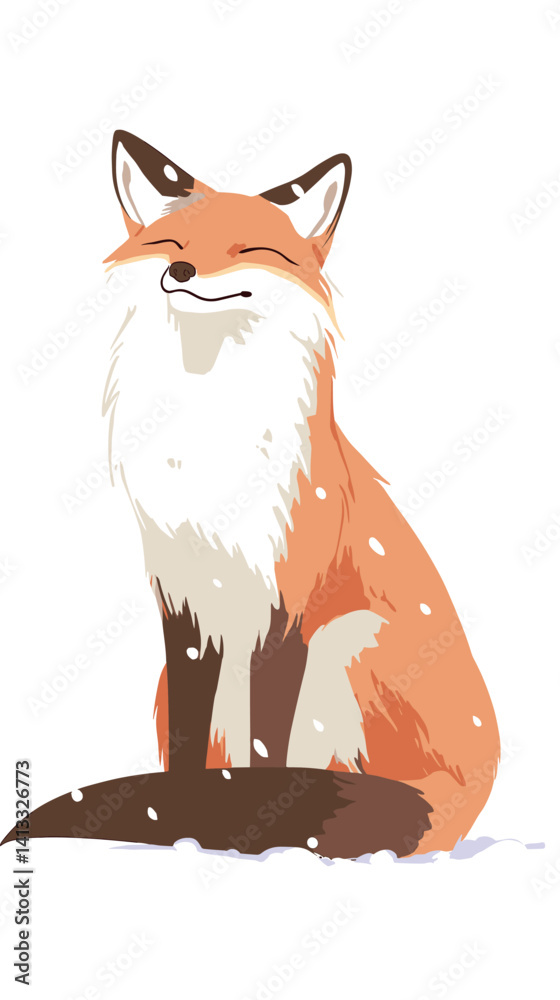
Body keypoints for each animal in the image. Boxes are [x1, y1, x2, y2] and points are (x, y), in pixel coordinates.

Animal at [1, 130, 500, 858]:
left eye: (248, 250)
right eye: (172, 244)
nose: (181, 272)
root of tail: (479, 784)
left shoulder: (285, 604)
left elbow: (269, 755)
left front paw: (255, 830)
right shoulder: (181, 599)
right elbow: (189, 749)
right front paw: (182, 819)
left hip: (348, 640)